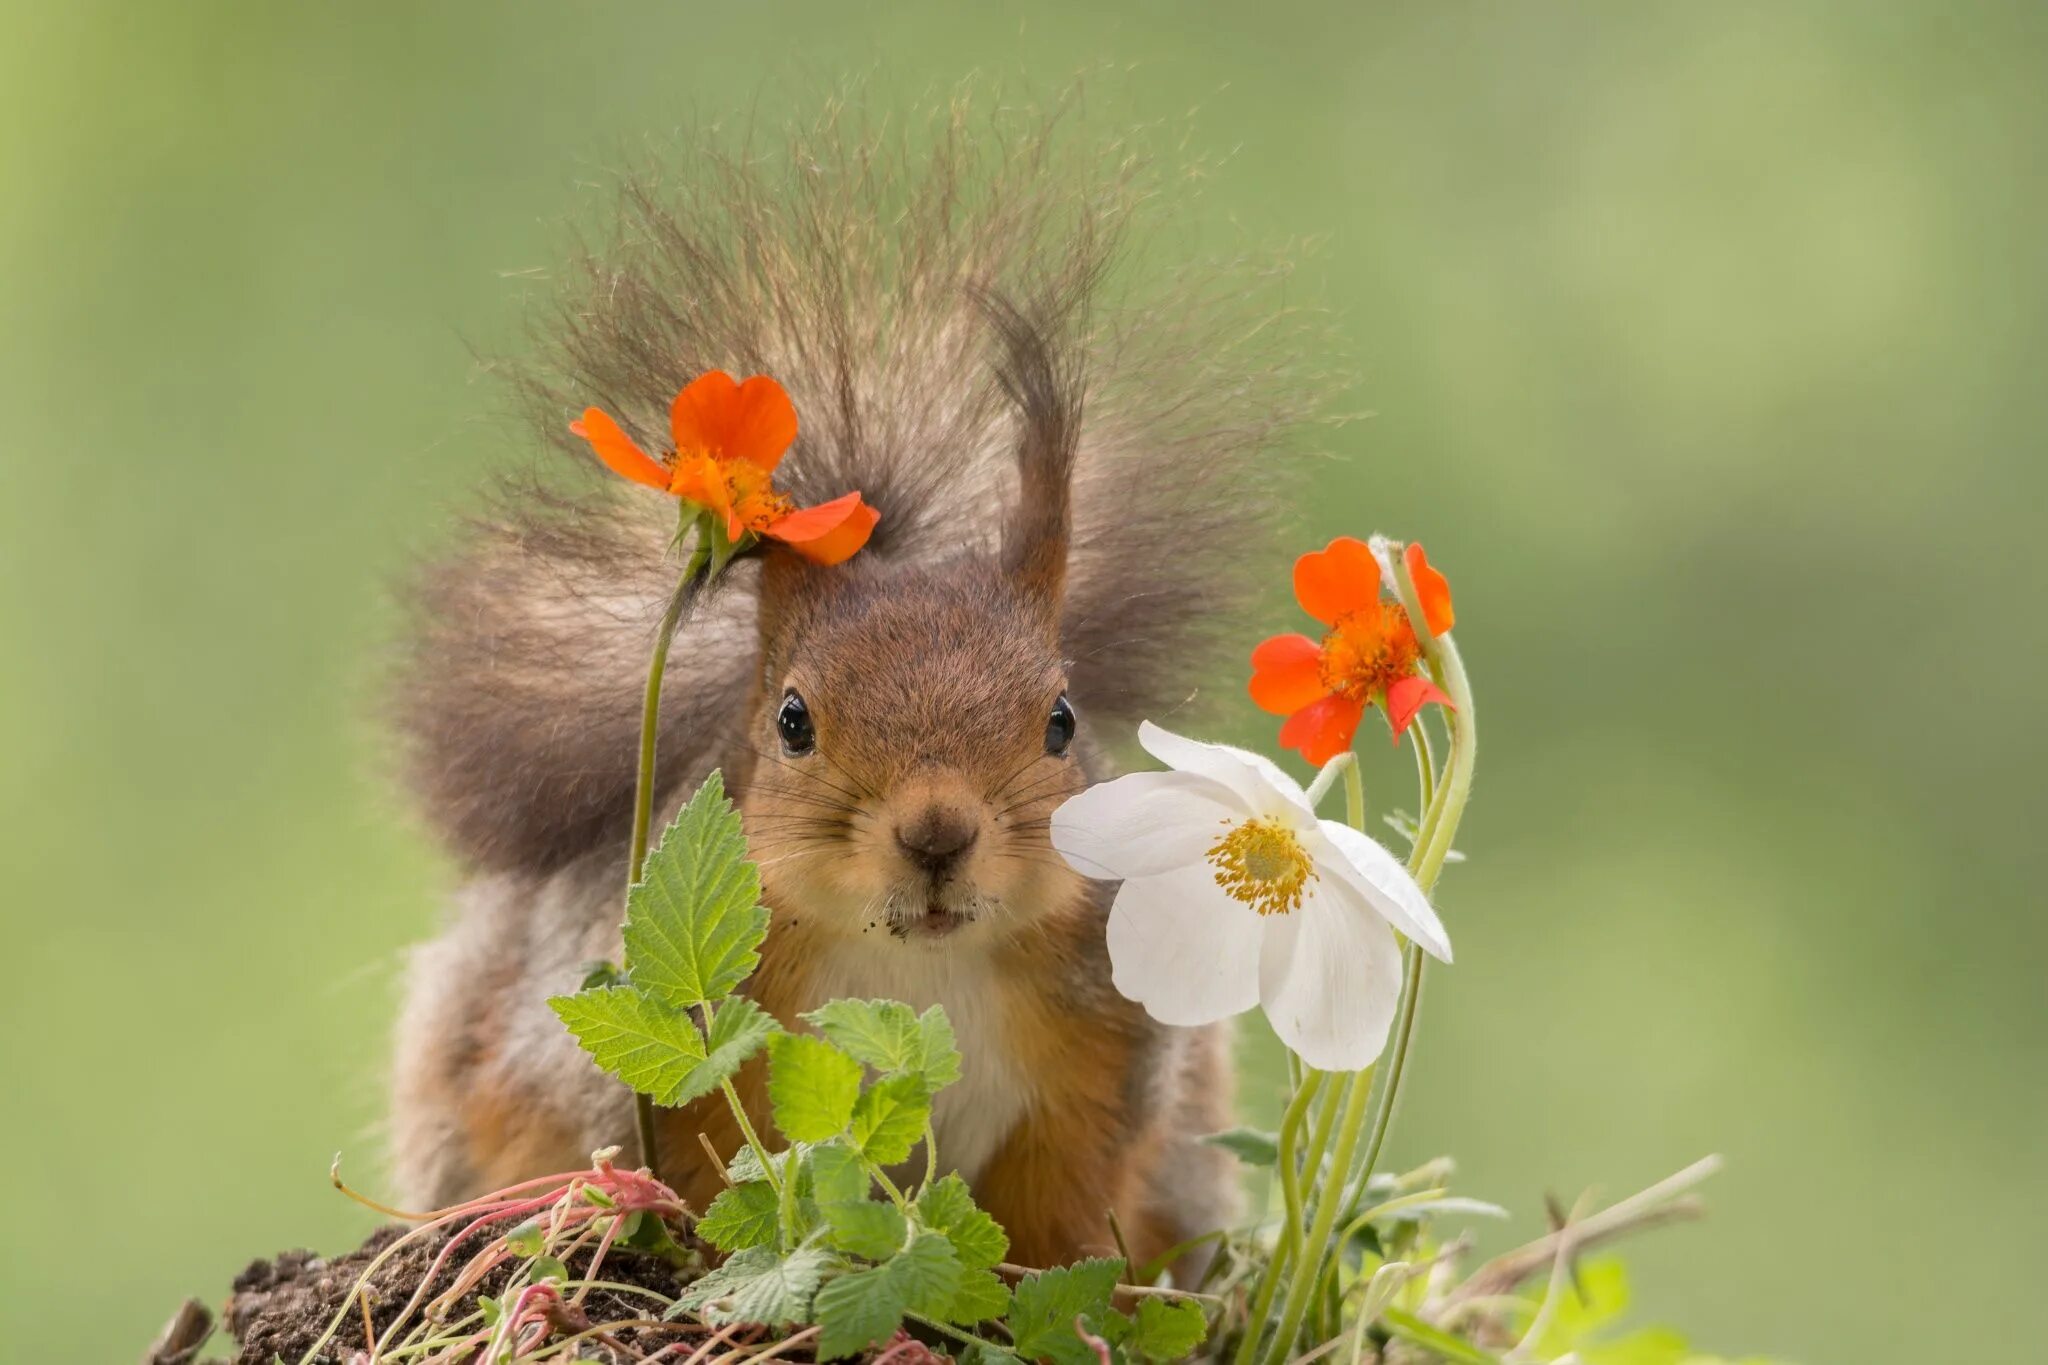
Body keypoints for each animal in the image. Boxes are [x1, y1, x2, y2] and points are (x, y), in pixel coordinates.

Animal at [391, 109, 1318, 1285]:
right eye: (792, 721)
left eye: (1061, 722)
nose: (935, 834)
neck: (910, 968)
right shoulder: (673, 1074)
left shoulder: (1097, 1079)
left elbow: (1055, 1239)